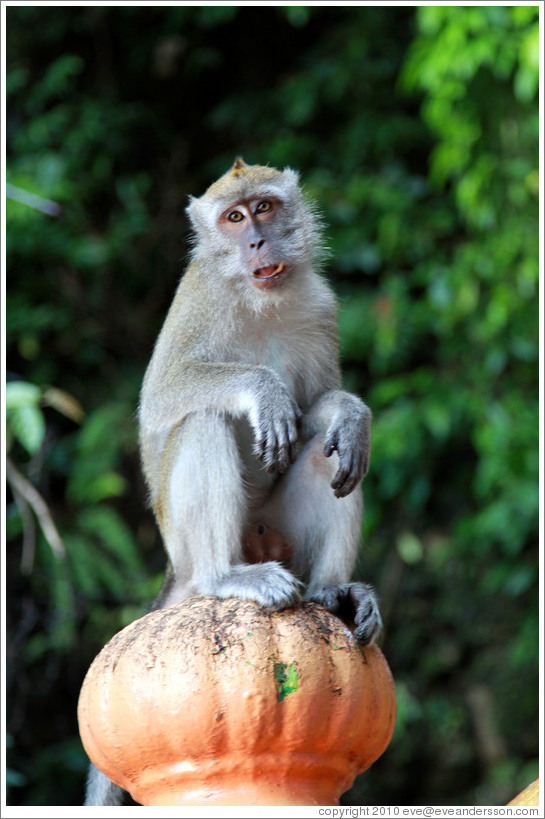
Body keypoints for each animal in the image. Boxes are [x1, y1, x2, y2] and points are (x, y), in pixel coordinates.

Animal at [86, 160, 382, 808]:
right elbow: (164, 400)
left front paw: (351, 412)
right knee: (205, 421)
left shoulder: (320, 304)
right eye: (234, 217)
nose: (256, 243)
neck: (259, 298)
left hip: (277, 529)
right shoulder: (199, 298)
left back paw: (334, 593)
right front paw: (261, 389)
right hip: (189, 545)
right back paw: (227, 577)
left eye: (265, 207)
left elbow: (318, 412)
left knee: (330, 458)